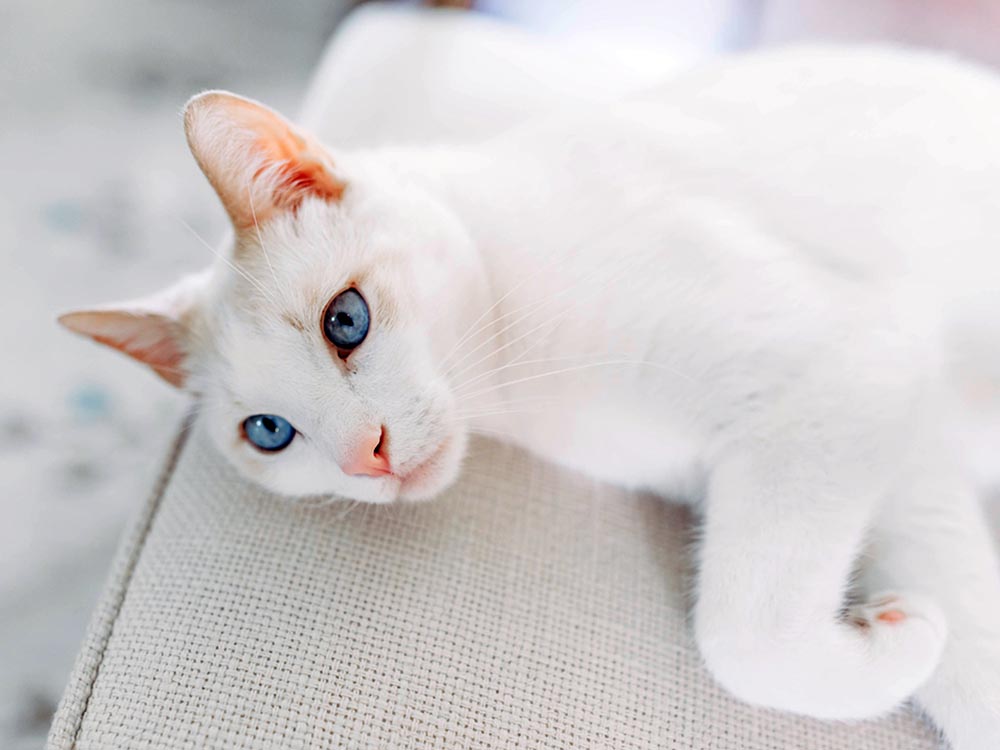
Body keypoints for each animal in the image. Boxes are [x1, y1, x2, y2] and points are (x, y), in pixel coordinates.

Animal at [60, 47, 1000, 750]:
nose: (368, 455)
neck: (518, 372)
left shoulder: (844, 364)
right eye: (268, 432)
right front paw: (910, 639)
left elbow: (741, 637)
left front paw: (898, 636)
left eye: (346, 320)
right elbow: (951, 643)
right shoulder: (902, 460)